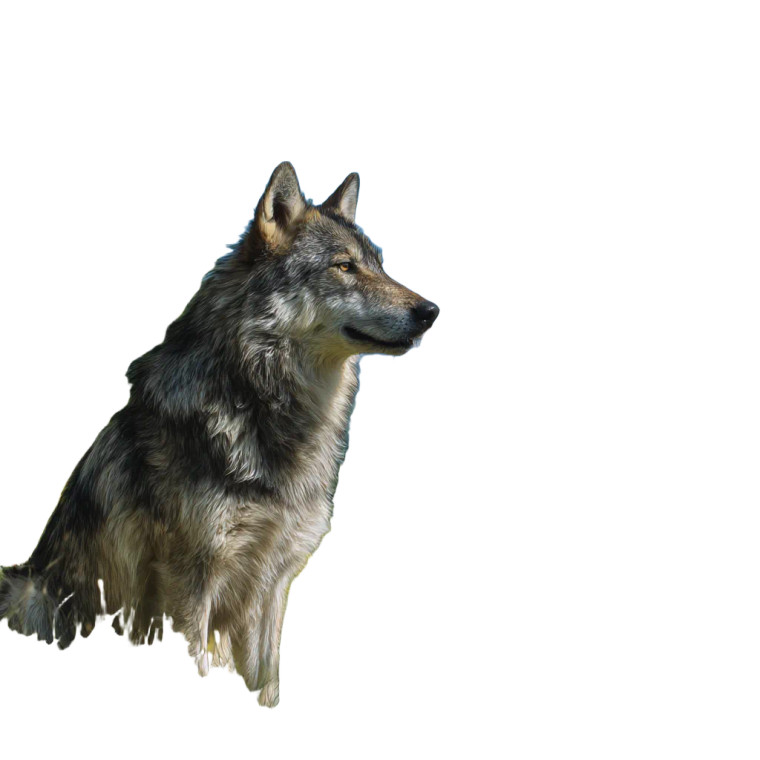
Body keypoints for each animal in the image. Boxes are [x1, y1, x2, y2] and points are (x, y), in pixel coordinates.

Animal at [0, 162, 438, 706]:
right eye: (344, 266)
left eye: (379, 264)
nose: (431, 311)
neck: (261, 407)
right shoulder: (189, 588)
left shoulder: (273, 584)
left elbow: (266, 683)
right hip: (37, 592)